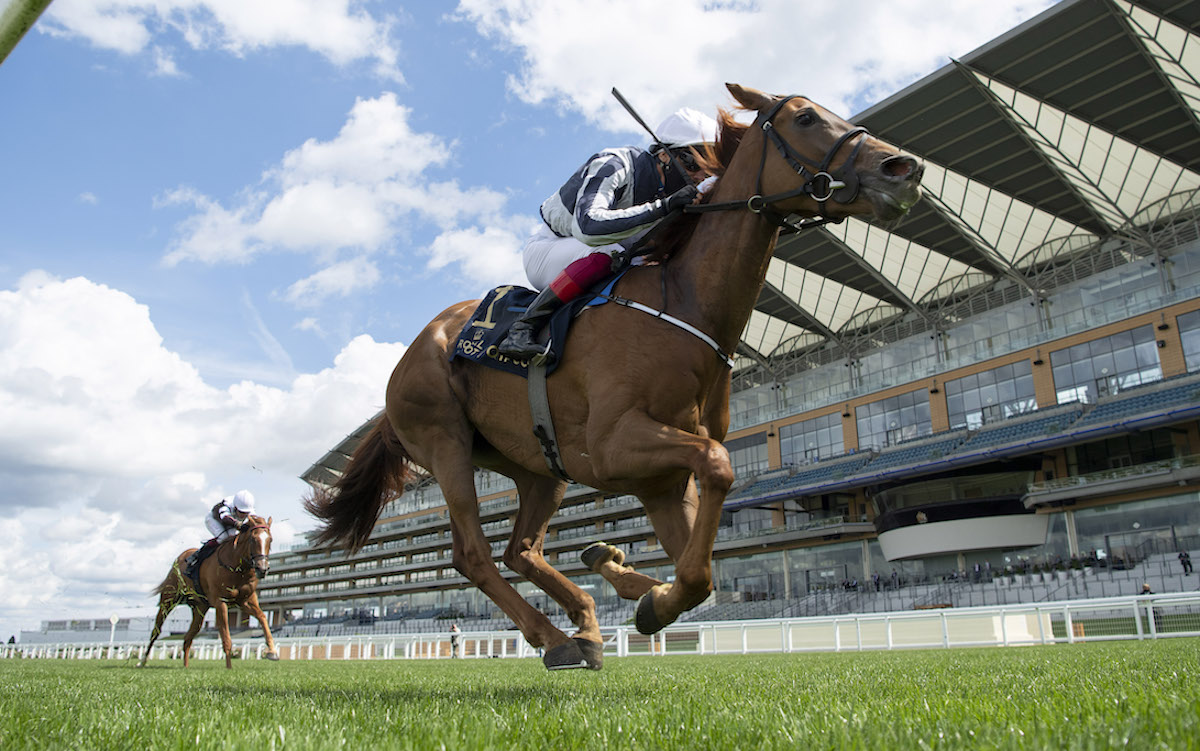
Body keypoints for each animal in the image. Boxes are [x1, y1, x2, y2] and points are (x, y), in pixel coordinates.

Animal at [139, 513, 279, 667]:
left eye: (270, 540)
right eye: (253, 539)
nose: (262, 568)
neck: (236, 566)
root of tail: (180, 557)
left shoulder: (245, 601)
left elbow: (262, 617)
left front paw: (272, 651)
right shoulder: (220, 602)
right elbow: (226, 637)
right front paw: (229, 668)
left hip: (200, 608)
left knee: (188, 637)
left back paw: (185, 666)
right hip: (168, 600)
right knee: (156, 630)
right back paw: (142, 661)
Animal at [304, 84, 921, 671]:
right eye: (806, 118)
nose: (904, 168)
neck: (684, 305)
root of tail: (411, 355)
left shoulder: (662, 478)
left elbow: (702, 573)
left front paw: (638, 586)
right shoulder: (614, 447)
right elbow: (719, 471)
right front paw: (645, 594)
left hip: (537, 465)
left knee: (519, 549)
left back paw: (589, 615)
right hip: (444, 440)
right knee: (474, 554)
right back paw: (556, 637)